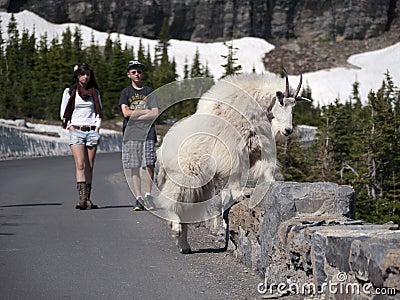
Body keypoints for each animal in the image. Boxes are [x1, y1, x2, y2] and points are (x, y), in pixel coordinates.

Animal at [155, 71, 306, 253]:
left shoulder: (259, 148)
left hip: (200, 186)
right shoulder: (234, 149)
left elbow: (267, 167)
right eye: (282, 102)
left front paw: (272, 183)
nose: (288, 130)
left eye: (294, 106)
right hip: (183, 176)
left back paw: (184, 245)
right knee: (171, 200)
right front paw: (239, 194)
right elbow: (236, 172)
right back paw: (175, 226)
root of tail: (161, 150)